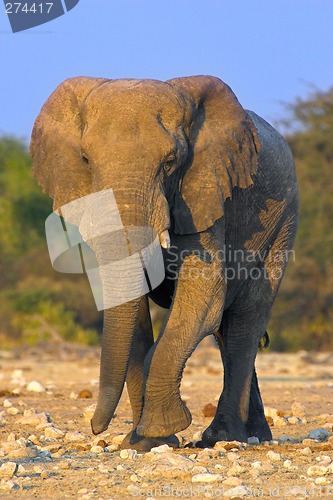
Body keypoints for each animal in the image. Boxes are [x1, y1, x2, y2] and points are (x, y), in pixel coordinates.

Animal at [30, 76, 298, 452]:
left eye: (170, 162)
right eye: (85, 159)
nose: (96, 429)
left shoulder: (204, 194)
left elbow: (204, 293)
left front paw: (159, 431)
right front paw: (141, 442)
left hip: (283, 223)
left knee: (246, 320)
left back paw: (224, 437)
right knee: (227, 329)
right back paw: (254, 434)